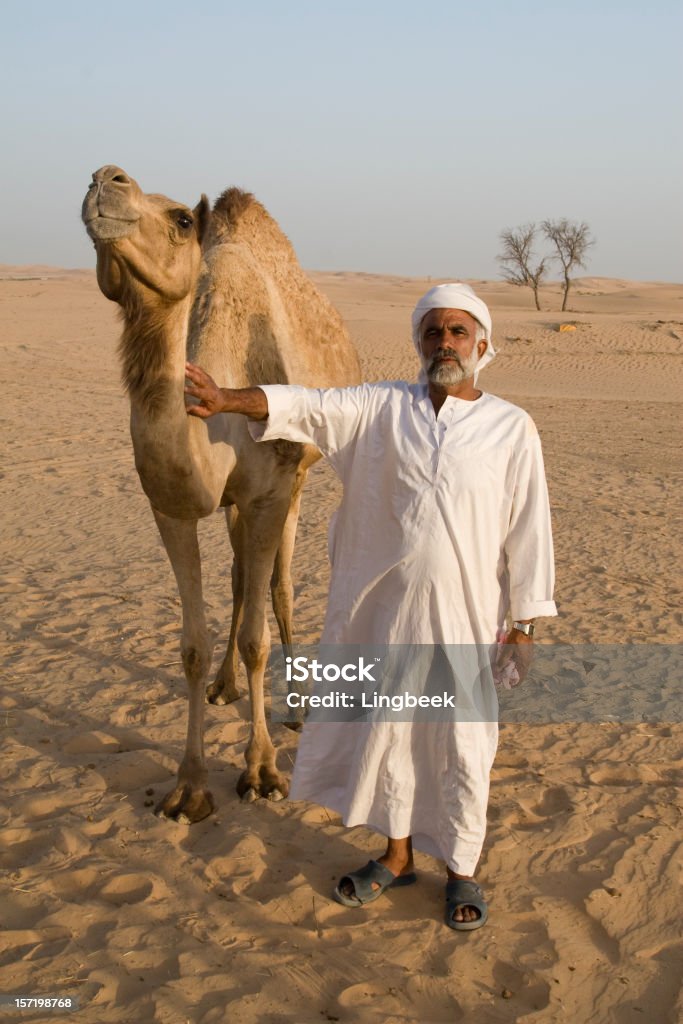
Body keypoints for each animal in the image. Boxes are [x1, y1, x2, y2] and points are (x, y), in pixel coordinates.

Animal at [81, 167, 360, 823]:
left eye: (182, 219)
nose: (106, 178)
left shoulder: (269, 494)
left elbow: (260, 634)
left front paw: (261, 772)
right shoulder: (171, 507)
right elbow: (190, 645)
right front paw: (189, 788)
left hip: (298, 482)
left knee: (279, 587)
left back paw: (298, 709)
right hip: (237, 505)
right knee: (238, 580)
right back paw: (225, 687)